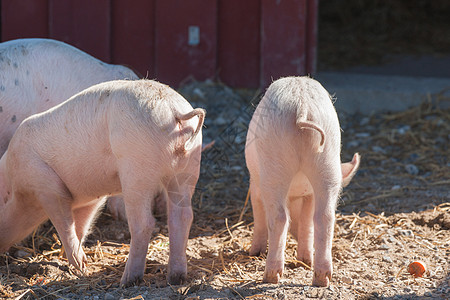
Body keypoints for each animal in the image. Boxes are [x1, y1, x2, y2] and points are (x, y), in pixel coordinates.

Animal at [0, 79, 204, 286]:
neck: (15, 184)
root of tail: (173, 111)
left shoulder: (46, 184)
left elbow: (63, 222)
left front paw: (81, 268)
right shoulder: (90, 197)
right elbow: (79, 225)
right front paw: (72, 261)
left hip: (137, 170)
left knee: (144, 222)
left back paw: (128, 281)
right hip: (188, 169)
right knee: (182, 216)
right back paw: (176, 278)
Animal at [244, 77, 360, 286]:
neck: (295, 192)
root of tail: (302, 107)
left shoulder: (255, 184)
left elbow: (258, 209)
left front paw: (254, 252)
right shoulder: (310, 193)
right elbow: (307, 219)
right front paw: (305, 260)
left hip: (274, 163)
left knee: (279, 216)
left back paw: (270, 277)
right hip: (327, 161)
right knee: (324, 216)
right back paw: (320, 278)